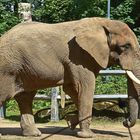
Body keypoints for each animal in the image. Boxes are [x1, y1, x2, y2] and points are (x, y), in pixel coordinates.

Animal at [0, 17, 139, 138]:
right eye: (126, 46)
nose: (125, 122)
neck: (104, 22)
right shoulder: (78, 56)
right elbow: (84, 87)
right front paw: (88, 135)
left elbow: (72, 89)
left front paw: (72, 122)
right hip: (8, 68)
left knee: (26, 97)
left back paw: (33, 134)